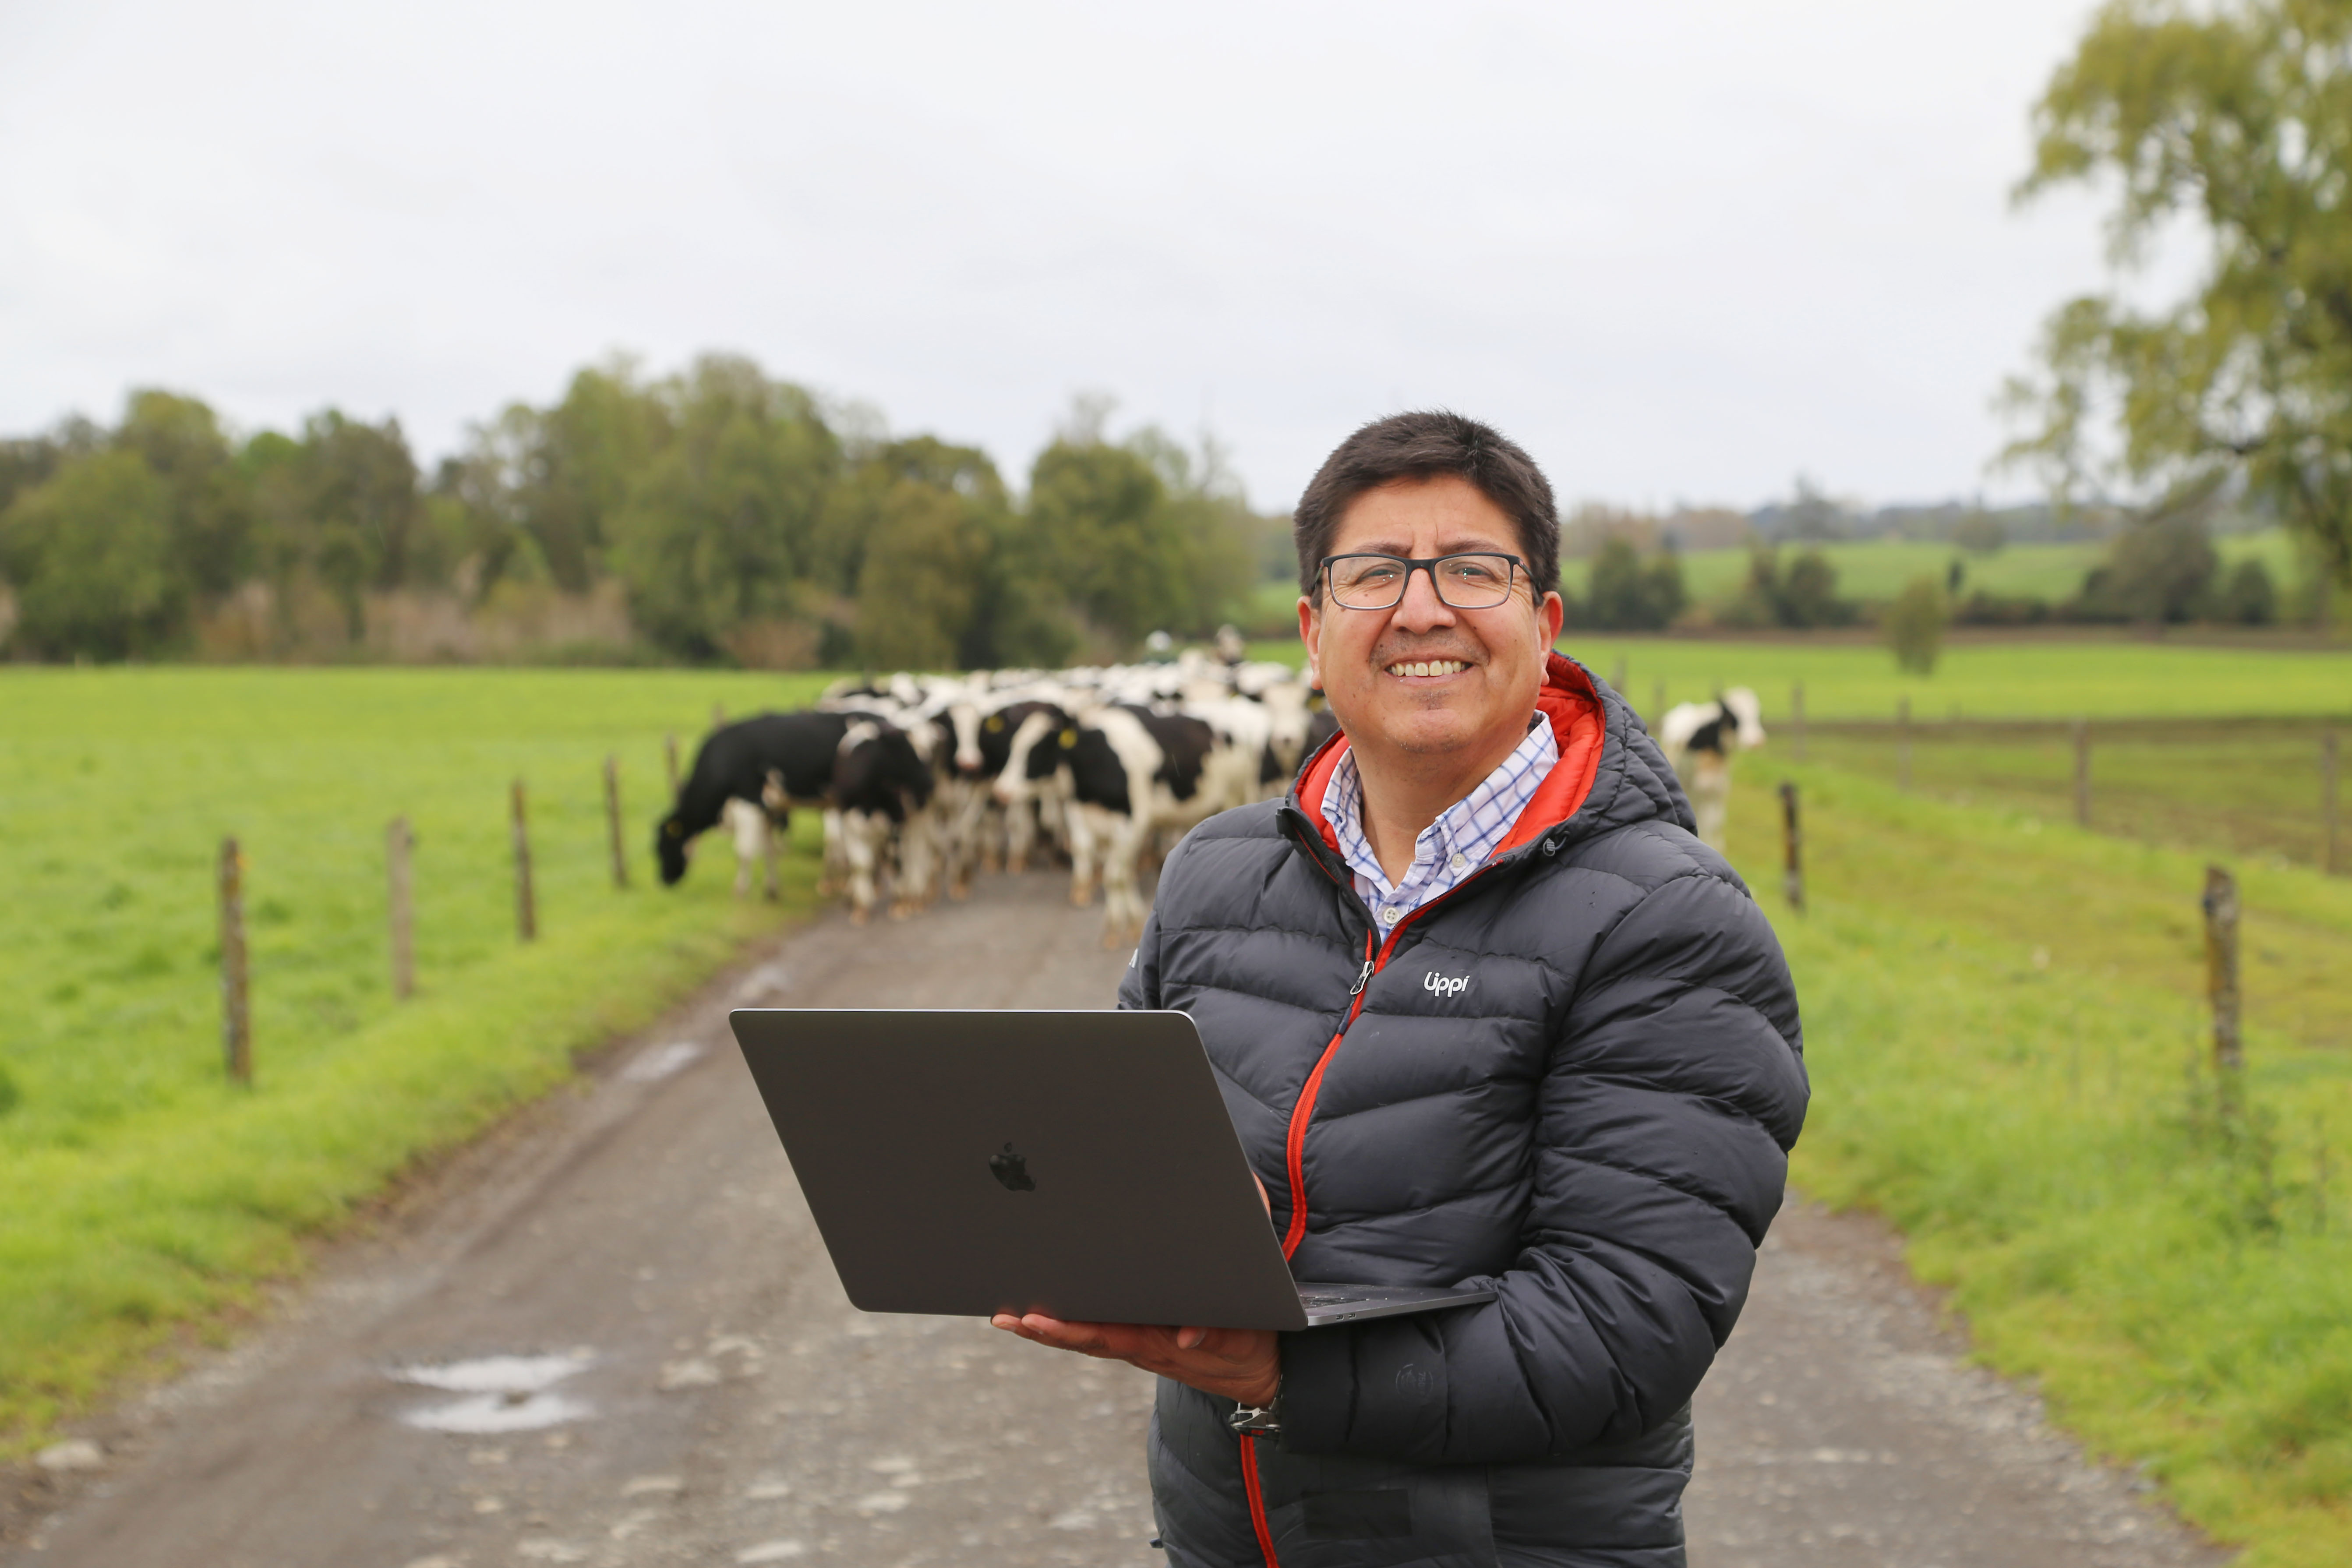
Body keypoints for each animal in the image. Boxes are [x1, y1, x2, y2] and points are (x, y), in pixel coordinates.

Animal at [1656, 686, 1769, 851]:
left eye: (1757, 715)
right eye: (1735, 717)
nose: (1757, 742)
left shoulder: (1720, 786)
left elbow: (1717, 822)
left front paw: (1719, 847)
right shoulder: (1705, 787)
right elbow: (1707, 822)